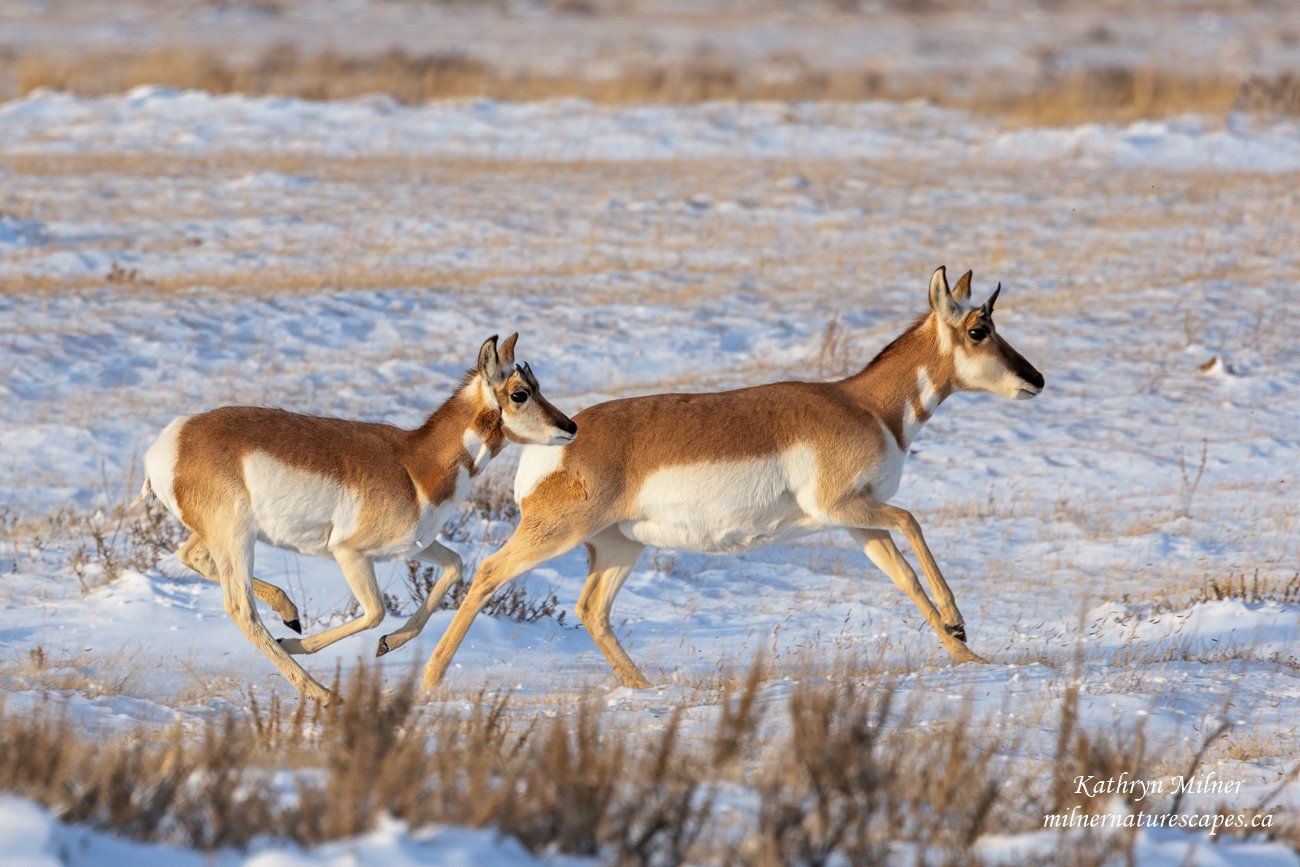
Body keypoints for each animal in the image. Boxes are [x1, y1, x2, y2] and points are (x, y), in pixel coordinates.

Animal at [138, 335, 579, 707]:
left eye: (537, 384)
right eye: (520, 393)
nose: (571, 426)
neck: (413, 463)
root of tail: (171, 441)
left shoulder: (413, 547)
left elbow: (454, 566)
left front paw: (387, 644)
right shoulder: (350, 554)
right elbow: (376, 613)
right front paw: (308, 646)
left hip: (221, 537)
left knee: (191, 557)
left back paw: (290, 613)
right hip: (235, 538)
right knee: (240, 609)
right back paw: (323, 692)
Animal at [418, 267, 1045, 686]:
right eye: (979, 330)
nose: (1037, 379)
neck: (866, 405)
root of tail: (563, 435)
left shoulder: (857, 523)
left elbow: (906, 580)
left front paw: (968, 655)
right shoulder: (845, 508)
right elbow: (914, 522)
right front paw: (960, 625)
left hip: (619, 547)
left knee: (592, 610)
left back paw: (646, 688)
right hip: (557, 536)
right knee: (490, 573)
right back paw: (428, 677)